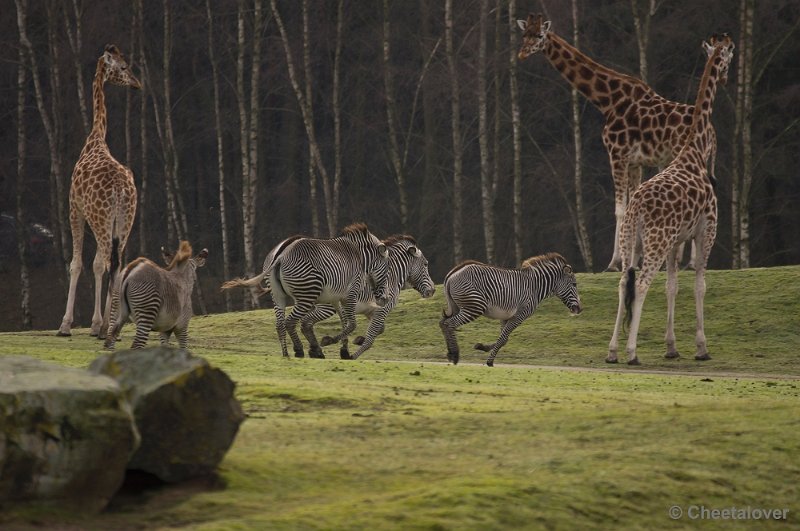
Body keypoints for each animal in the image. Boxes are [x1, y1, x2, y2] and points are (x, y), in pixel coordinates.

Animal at [57, 44, 141, 336]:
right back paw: (110, 324)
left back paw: (102, 326)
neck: (95, 138)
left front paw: (67, 324)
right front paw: (98, 321)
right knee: (117, 264)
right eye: (124, 66)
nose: (137, 83)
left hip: (102, 219)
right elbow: (97, 265)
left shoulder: (75, 208)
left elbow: (78, 264)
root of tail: (121, 191)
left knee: (106, 262)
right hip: (124, 221)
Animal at [302, 235, 434, 360]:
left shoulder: (371, 310)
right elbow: (372, 336)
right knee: (307, 321)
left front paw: (359, 340)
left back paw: (317, 351)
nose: (433, 291)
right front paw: (353, 355)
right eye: (426, 264)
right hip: (327, 306)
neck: (393, 275)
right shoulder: (383, 308)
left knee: (307, 321)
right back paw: (317, 350)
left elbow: (380, 329)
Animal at [438, 252, 580, 368]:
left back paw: (450, 354)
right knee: (450, 323)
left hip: (458, 307)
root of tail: (452, 274)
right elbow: (503, 338)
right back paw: (455, 355)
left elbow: (504, 339)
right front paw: (490, 361)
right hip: (475, 307)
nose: (579, 309)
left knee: (443, 323)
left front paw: (481, 347)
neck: (535, 287)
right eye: (574, 284)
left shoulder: (505, 317)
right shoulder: (519, 315)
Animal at [520, 14, 720, 272]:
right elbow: (630, 206)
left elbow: (620, 210)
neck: (607, 101)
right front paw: (634, 259)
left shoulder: (617, 154)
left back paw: (688, 262)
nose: (522, 53)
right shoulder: (635, 162)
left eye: (539, 36)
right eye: (524, 34)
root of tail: (712, 131)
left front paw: (614, 262)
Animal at [608, 33, 736, 366]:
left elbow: (672, 286)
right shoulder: (706, 231)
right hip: (656, 240)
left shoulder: (677, 239)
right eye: (730, 55)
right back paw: (631, 352)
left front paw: (672, 347)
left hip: (631, 241)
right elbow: (700, 285)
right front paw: (702, 347)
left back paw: (612, 351)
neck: (695, 149)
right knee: (640, 284)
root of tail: (637, 208)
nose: (727, 77)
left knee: (623, 282)